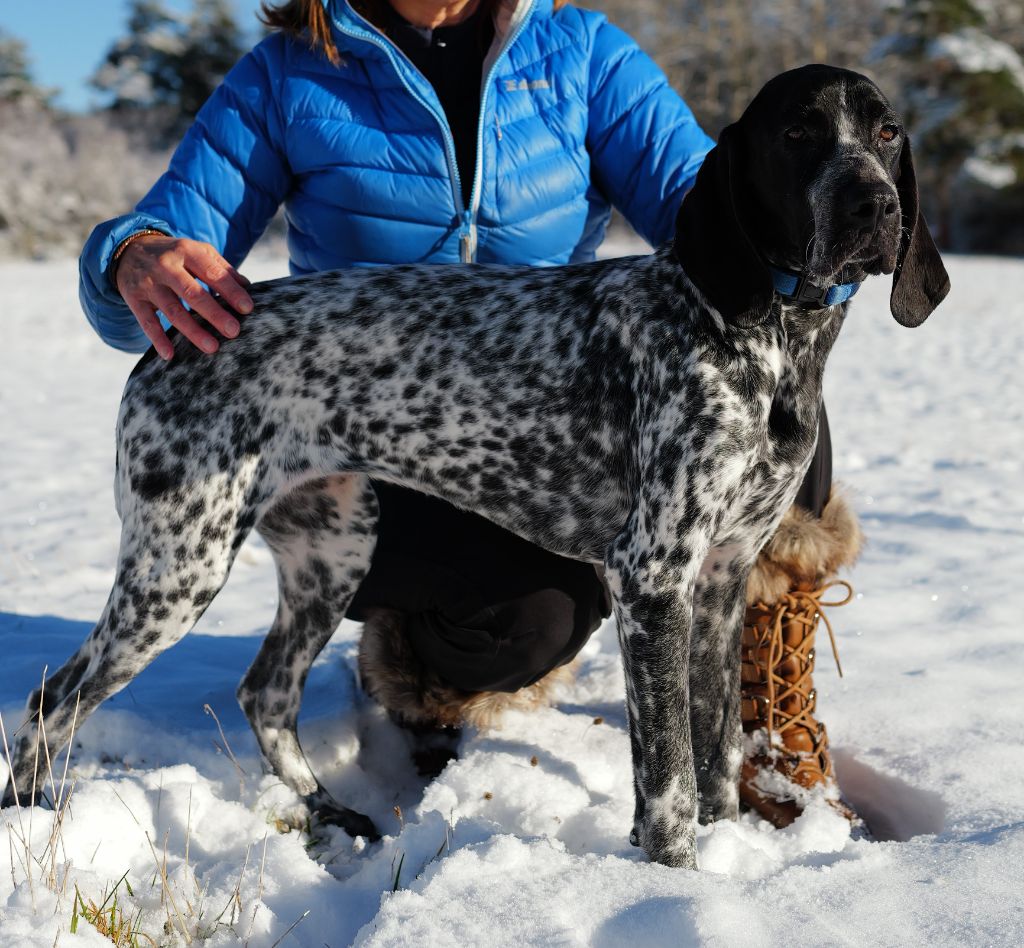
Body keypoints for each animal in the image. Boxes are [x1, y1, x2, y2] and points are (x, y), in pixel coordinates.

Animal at [4, 65, 950, 868]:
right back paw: (33, 827)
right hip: (178, 566)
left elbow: (715, 754)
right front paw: (674, 879)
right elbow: (669, 780)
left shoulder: (721, 580)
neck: (772, 340)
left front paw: (731, 854)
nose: (872, 205)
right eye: (797, 133)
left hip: (331, 550)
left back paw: (332, 812)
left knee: (265, 694)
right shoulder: (651, 579)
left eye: (887, 132)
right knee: (54, 700)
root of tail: (170, 339)